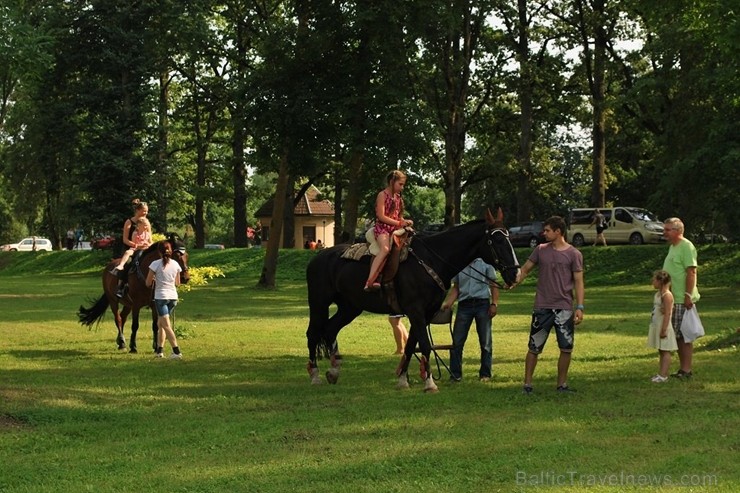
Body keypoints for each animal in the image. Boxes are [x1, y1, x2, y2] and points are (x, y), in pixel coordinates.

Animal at [306, 208, 520, 392]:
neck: (431, 261)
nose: (515, 274)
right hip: (319, 303)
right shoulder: (416, 311)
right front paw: (430, 384)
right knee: (313, 333)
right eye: (497, 240)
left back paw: (333, 372)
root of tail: (318, 257)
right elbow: (424, 344)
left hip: (350, 307)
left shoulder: (426, 313)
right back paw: (315, 376)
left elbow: (411, 344)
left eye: (509, 237)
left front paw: (403, 380)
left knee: (330, 329)